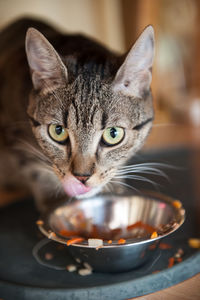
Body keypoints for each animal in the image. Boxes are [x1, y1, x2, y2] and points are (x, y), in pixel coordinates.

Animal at [0, 17, 155, 212]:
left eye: (113, 134)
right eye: (58, 131)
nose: (82, 177)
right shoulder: (14, 134)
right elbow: (34, 169)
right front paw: (54, 203)